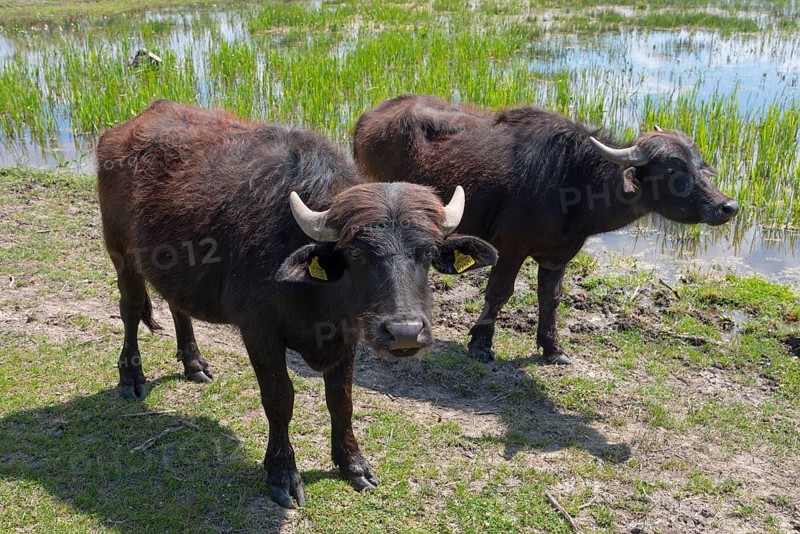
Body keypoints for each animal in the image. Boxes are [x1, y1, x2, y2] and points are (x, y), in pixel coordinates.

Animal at [97, 100, 497, 507]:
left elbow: (341, 399)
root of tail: (128, 126)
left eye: (429, 252)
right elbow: (279, 399)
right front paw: (282, 473)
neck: (316, 294)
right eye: (356, 253)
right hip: (121, 253)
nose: (404, 332)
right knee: (130, 310)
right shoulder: (259, 332)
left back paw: (194, 363)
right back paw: (131, 378)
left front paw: (353, 464)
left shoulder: (346, 337)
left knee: (178, 306)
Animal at [354, 94, 739, 364]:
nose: (728, 206)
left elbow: (550, 298)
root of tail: (369, 118)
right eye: (673, 170)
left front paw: (552, 347)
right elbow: (499, 293)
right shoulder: (510, 248)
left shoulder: (559, 256)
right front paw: (480, 344)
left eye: (701, 165)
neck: (574, 182)